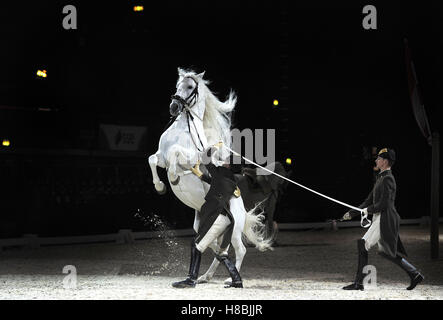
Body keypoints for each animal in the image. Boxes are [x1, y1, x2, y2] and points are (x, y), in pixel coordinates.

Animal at [149, 68, 274, 284]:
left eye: (190, 86)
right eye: (177, 85)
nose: (174, 107)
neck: (184, 129)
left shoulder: (188, 158)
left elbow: (175, 153)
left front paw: (173, 178)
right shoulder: (160, 157)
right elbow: (152, 160)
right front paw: (160, 186)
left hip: (233, 229)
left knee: (238, 249)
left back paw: (230, 280)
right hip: (207, 226)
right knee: (216, 248)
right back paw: (204, 277)